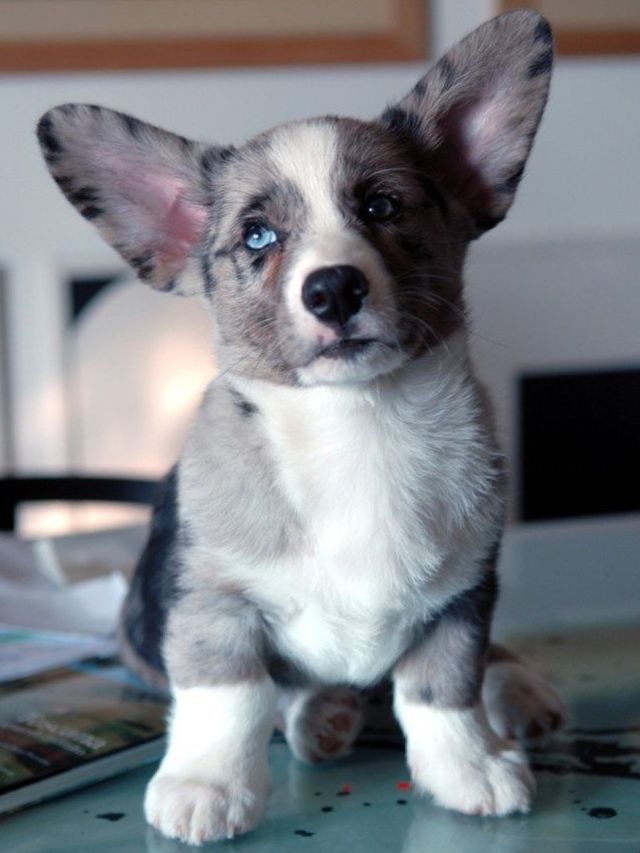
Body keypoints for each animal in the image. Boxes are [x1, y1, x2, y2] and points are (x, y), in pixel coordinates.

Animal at [37, 10, 565, 845]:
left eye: (382, 206)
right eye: (257, 236)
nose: (334, 289)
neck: (358, 425)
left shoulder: (463, 596)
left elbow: (442, 686)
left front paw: (470, 766)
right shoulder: (212, 603)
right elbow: (230, 693)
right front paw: (206, 783)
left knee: (486, 662)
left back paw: (517, 690)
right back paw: (323, 712)